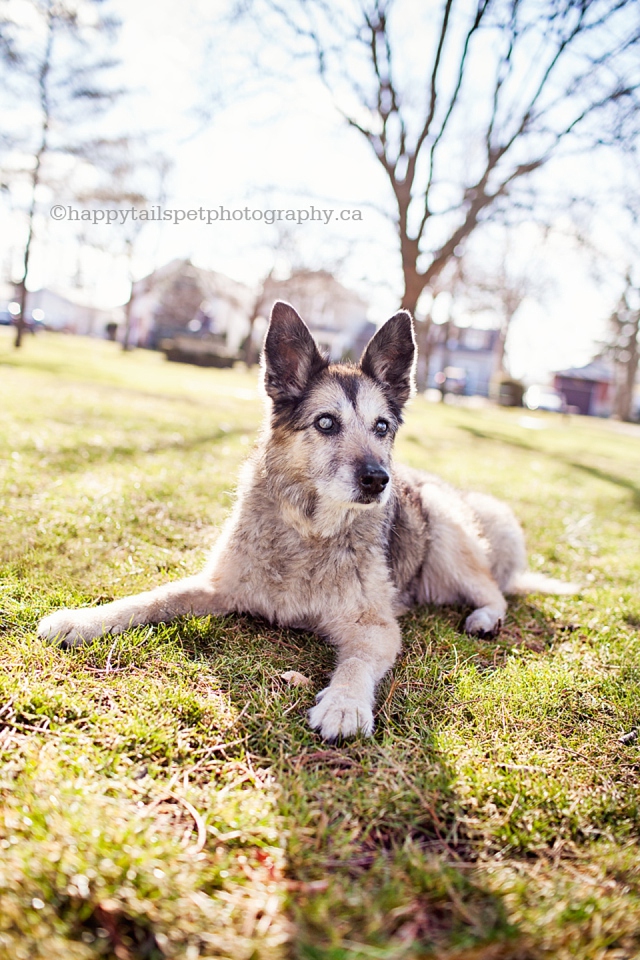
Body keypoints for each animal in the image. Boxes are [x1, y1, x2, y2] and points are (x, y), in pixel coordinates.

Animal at [40, 304, 580, 740]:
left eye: (381, 427)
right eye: (325, 423)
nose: (378, 480)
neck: (307, 531)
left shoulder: (374, 628)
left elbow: (356, 663)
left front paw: (344, 704)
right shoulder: (217, 587)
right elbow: (151, 598)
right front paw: (83, 619)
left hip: (446, 528)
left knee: (494, 590)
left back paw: (486, 618)